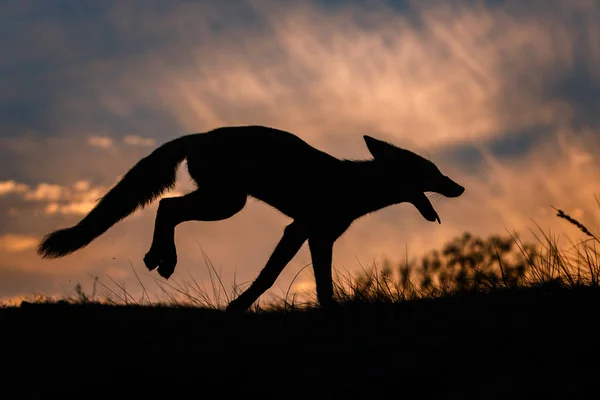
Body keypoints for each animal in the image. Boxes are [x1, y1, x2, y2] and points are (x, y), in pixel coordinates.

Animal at [37, 125, 464, 312]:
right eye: (433, 173)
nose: (459, 188)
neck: (352, 186)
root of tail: (200, 135)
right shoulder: (305, 229)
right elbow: (277, 278)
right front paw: (239, 307)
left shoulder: (312, 233)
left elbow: (312, 282)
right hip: (227, 203)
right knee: (167, 207)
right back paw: (162, 258)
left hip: (223, 201)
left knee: (167, 208)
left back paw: (159, 258)